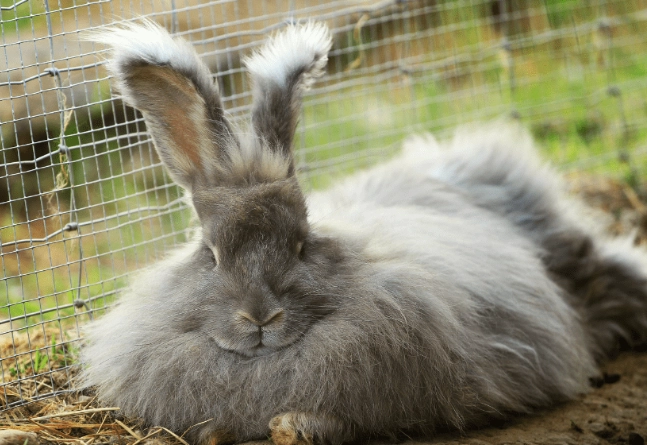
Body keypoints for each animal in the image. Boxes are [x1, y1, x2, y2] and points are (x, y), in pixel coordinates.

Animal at [81, 20, 647, 445]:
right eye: (212, 254)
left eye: (302, 245)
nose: (261, 318)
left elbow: (338, 421)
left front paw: (292, 427)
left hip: (578, 258)